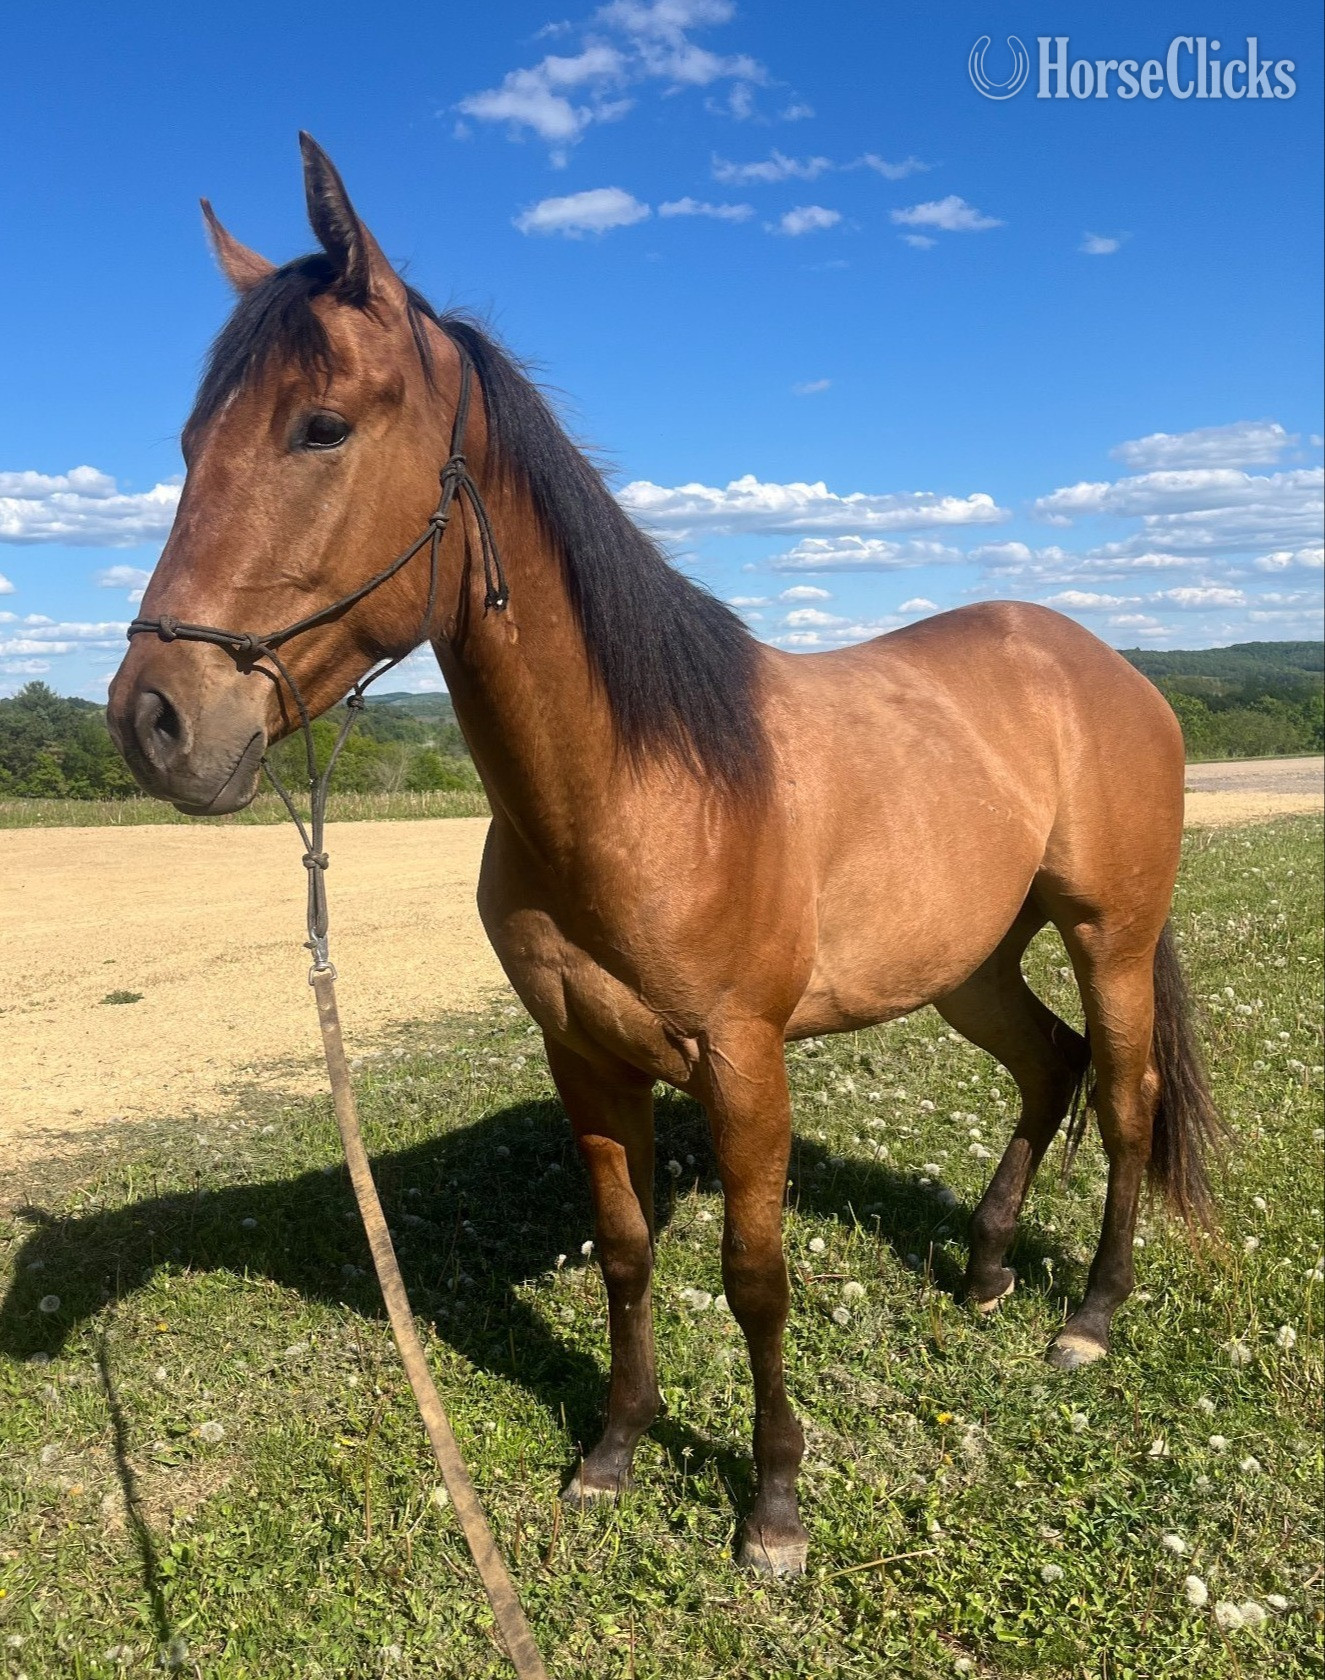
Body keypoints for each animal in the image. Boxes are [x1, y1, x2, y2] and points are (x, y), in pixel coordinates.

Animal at [108, 136, 1222, 1576]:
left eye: (322, 426)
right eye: (191, 442)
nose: (157, 722)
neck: (642, 792)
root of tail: (1110, 668)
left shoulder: (743, 1066)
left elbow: (754, 1278)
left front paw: (773, 1504)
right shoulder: (584, 1057)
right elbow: (627, 1252)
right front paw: (615, 1451)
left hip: (1109, 937)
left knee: (1125, 1099)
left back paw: (1085, 1317)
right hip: (969, 962)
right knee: (1050, 1067)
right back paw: (980, 1273)